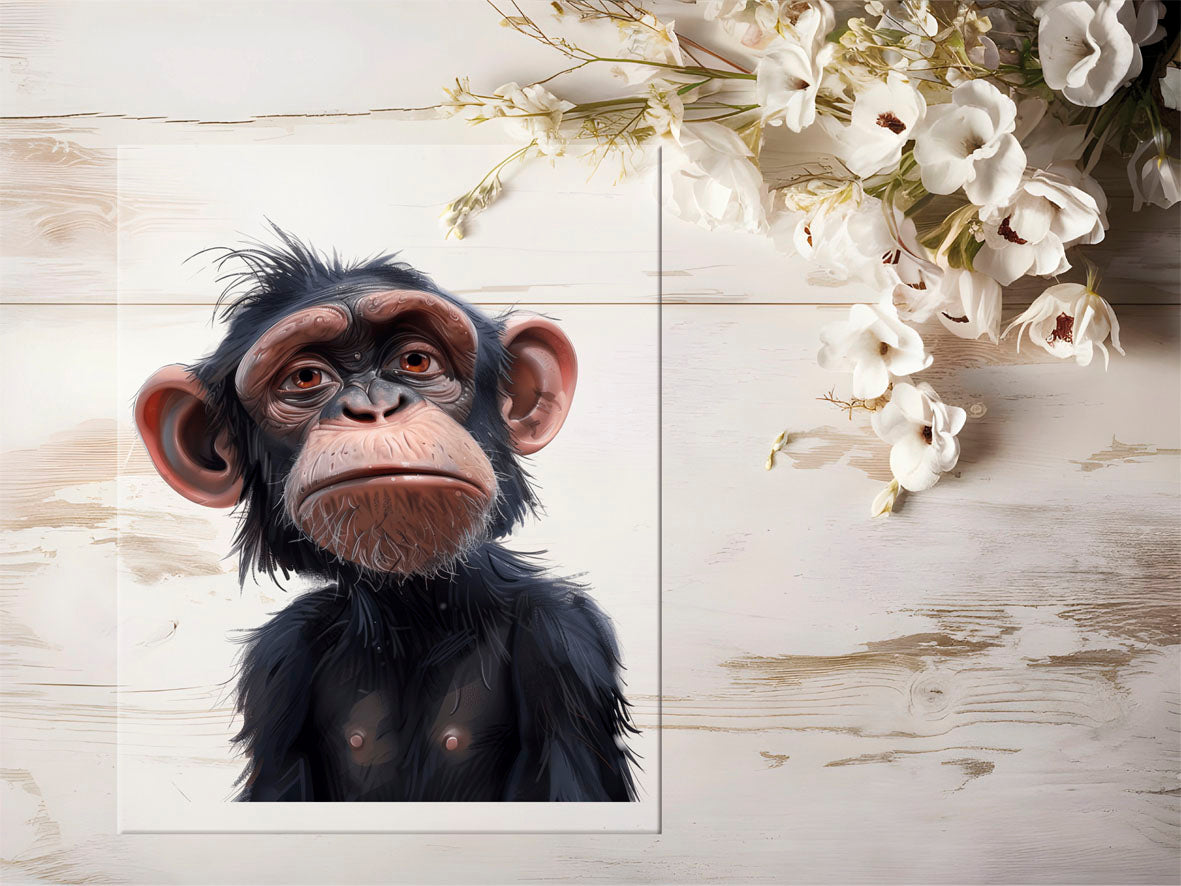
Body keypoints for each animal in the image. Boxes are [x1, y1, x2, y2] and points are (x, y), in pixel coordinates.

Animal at [134, 231, 637, 801]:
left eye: (416, 362)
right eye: (306, 377)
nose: (373, 406)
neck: (416, 613)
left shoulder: (565, 644)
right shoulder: (277, 663)